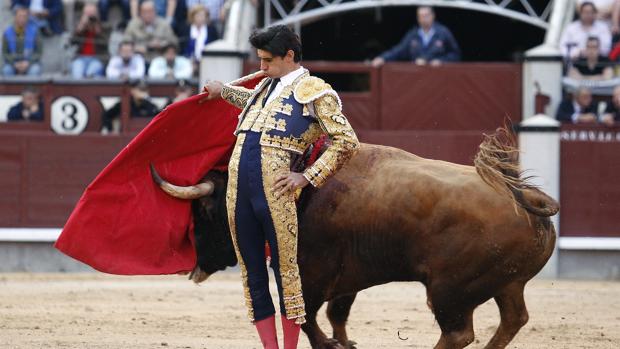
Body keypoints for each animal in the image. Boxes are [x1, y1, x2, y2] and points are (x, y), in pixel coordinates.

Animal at [150, 128, 556, 348]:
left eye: (203, 212)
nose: (193, 268)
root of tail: (523, 195)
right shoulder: (347, 277)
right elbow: (335, 313)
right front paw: (344, 343)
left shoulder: (311, 272)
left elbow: (304, 316)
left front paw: (331, 345)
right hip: (506, 283)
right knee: (513, 319)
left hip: (450, 290)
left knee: (458, 334)